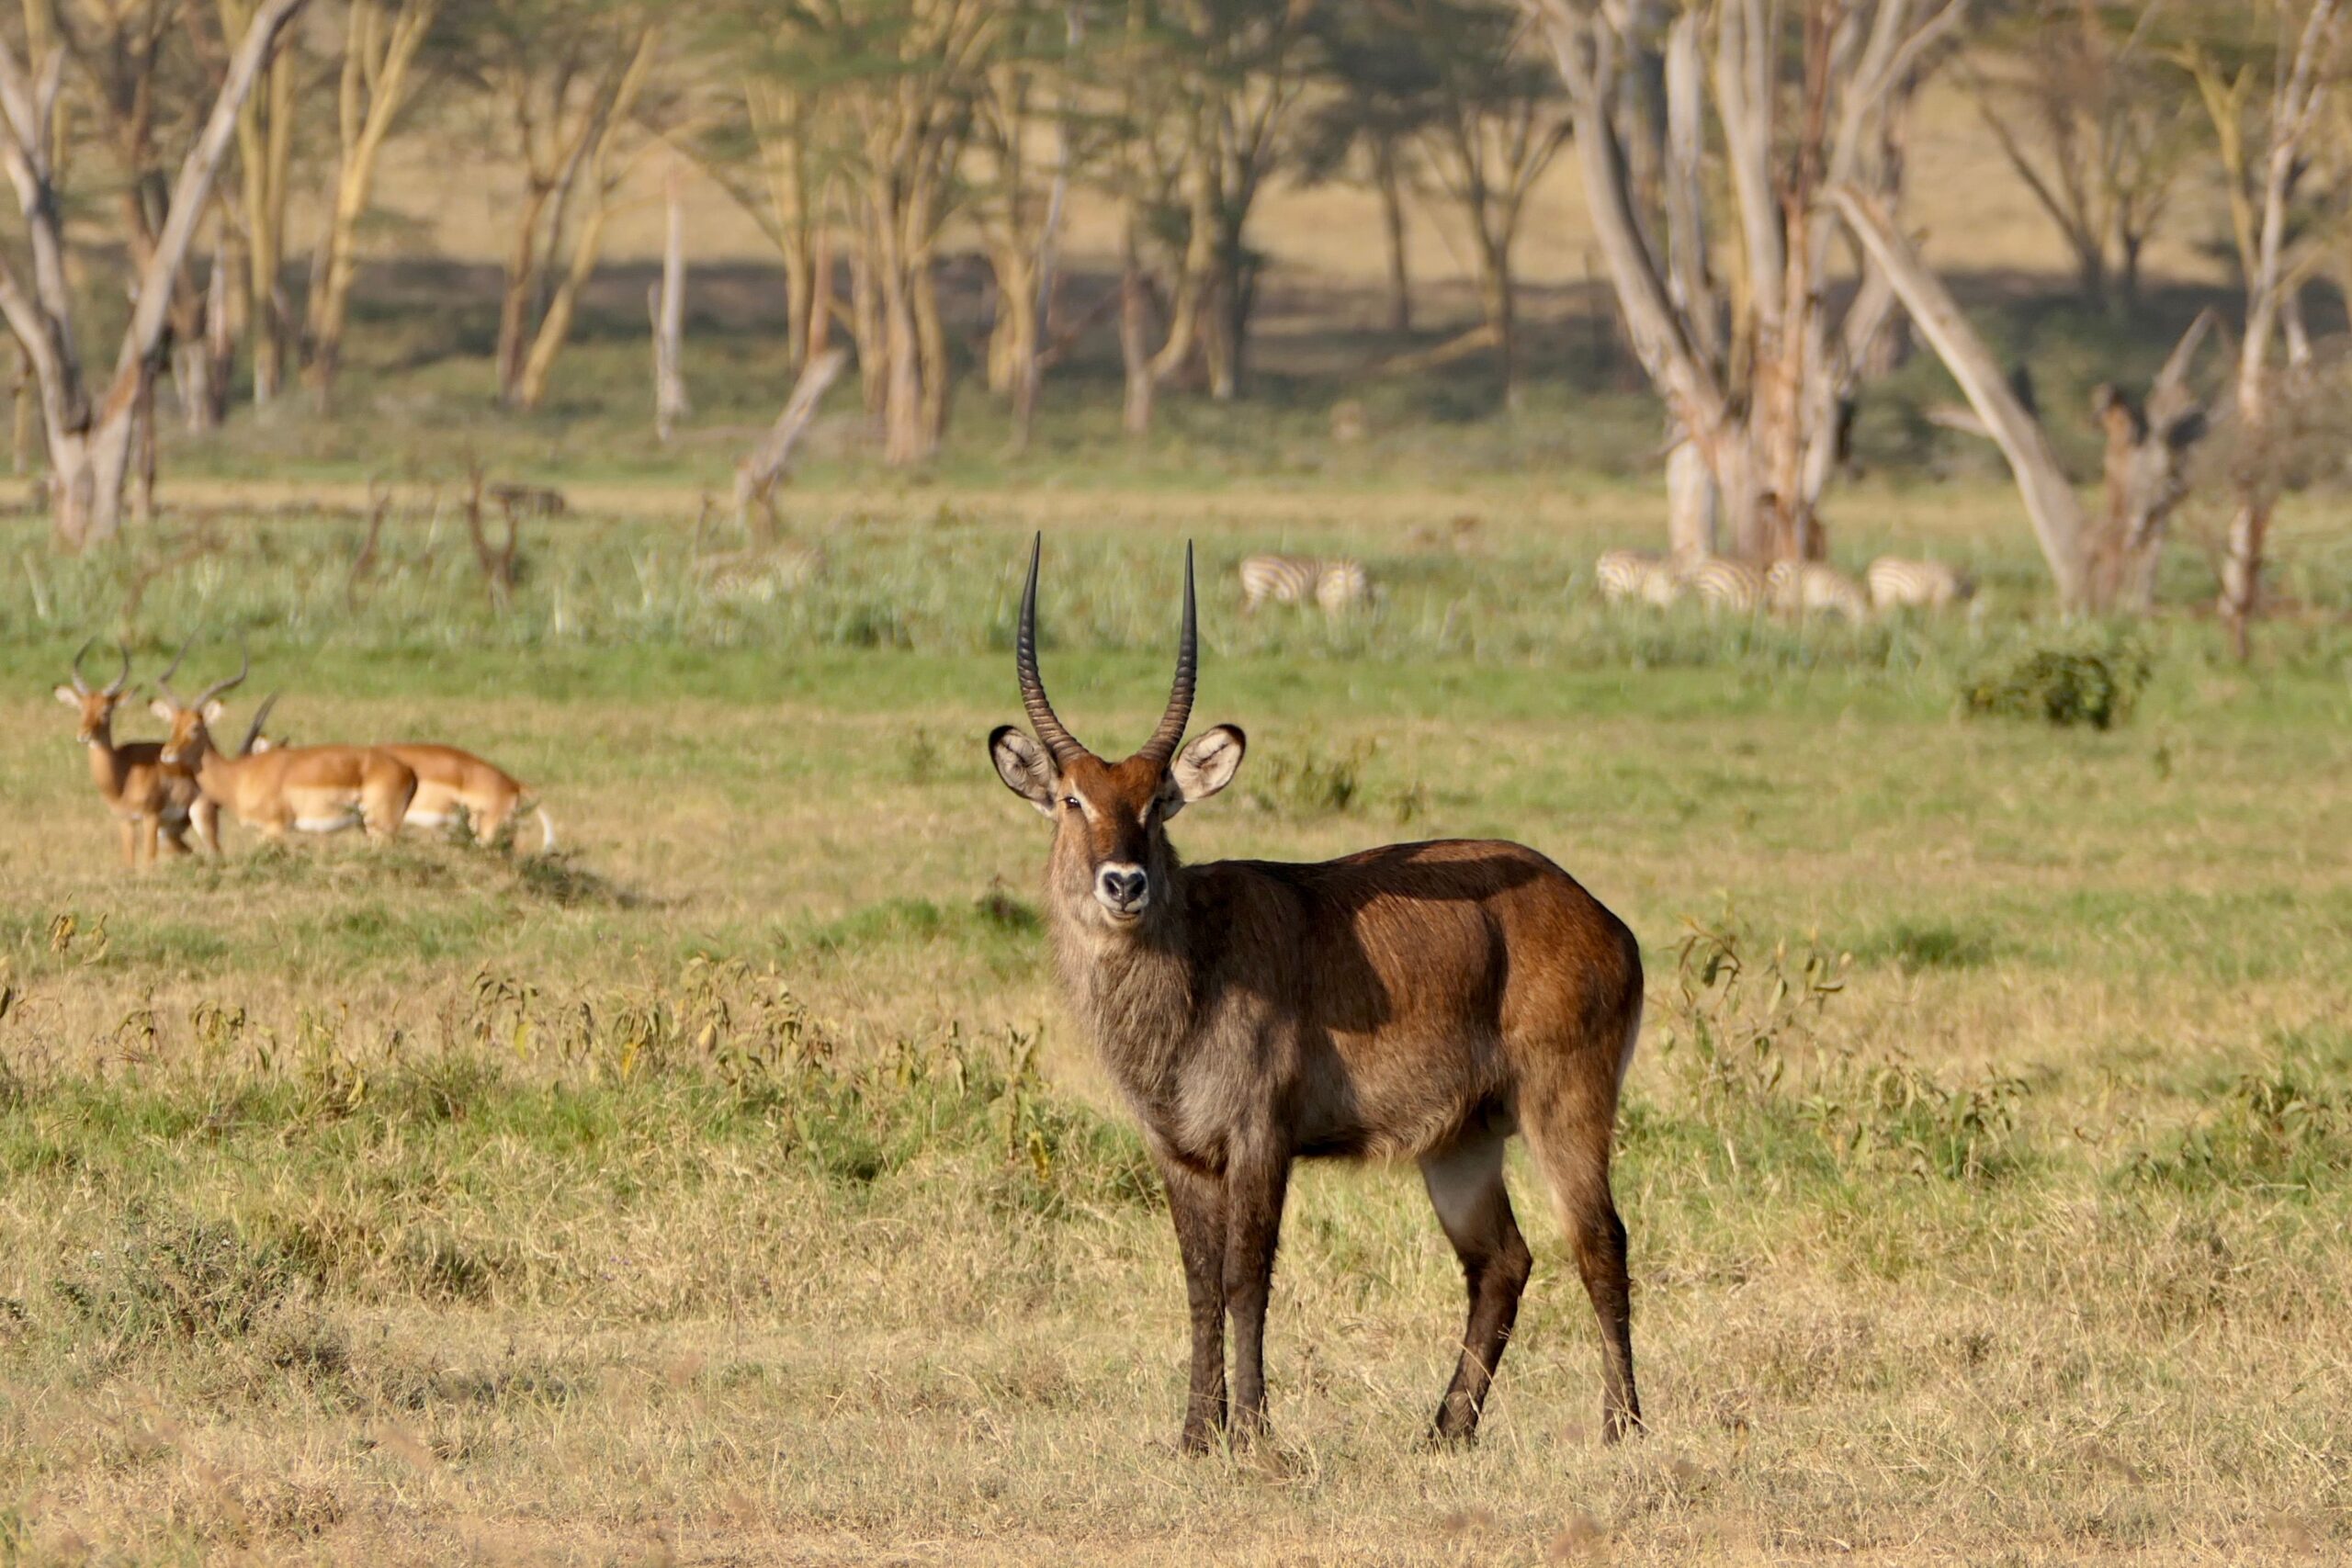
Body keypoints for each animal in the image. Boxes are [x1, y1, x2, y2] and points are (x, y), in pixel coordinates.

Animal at [53, 640, 218, 867]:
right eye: (81, 708)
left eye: (106, 710)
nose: (84, 735)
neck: (123, 774)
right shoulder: (125, 821)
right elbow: (129, 861)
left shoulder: (151, 817)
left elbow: (148, 860)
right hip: (171, 830)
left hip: (198, 817)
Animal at [151, 651, 417, 843]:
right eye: (172, 725)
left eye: (196, 727)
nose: (167, 753)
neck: (239, 776)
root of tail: (408, 771)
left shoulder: (275, 829)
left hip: (381, 826)